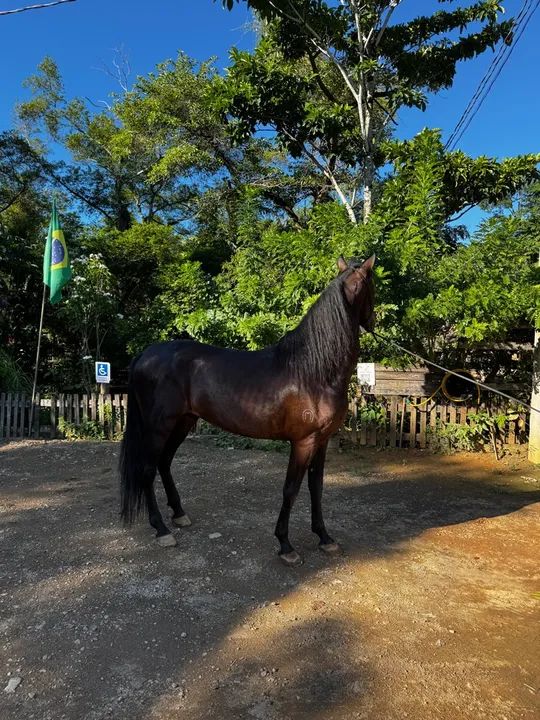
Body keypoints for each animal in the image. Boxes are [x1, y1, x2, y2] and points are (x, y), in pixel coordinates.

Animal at [119, 254, 375, 566]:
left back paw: (179, 515)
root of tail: (144, 355)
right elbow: (291, 489)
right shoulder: (303, 442)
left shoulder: (322, 441)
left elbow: (316, 487)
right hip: (158, 427)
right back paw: (161, 529)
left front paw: (325, 538)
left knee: (164, 462)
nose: (373, 321)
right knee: (147, 470)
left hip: (183, 422)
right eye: (373, 286)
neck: (313, 371)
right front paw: (285, 545)